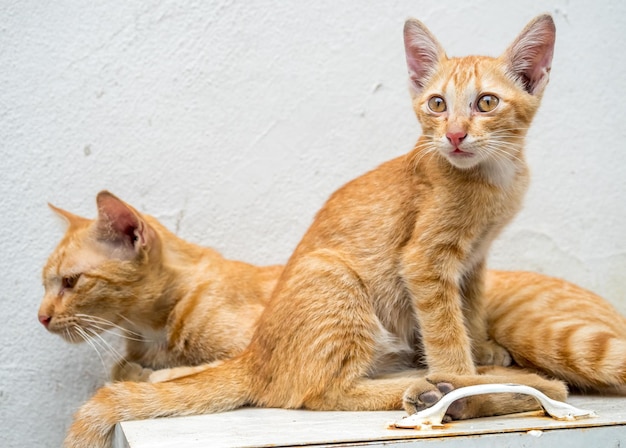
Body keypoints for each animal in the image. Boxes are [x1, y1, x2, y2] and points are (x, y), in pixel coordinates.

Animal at [64, 14, 620, 448]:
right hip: (334, 277)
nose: (456, 135)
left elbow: (470, 309)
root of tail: (255, 356)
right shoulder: (425, 262)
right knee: (317, 392)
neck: (492, 179)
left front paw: (480, 348)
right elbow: (444, 327)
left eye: (486, 103)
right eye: (437, 104)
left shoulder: (475, 260)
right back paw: (443, 389)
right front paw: (464, 377)